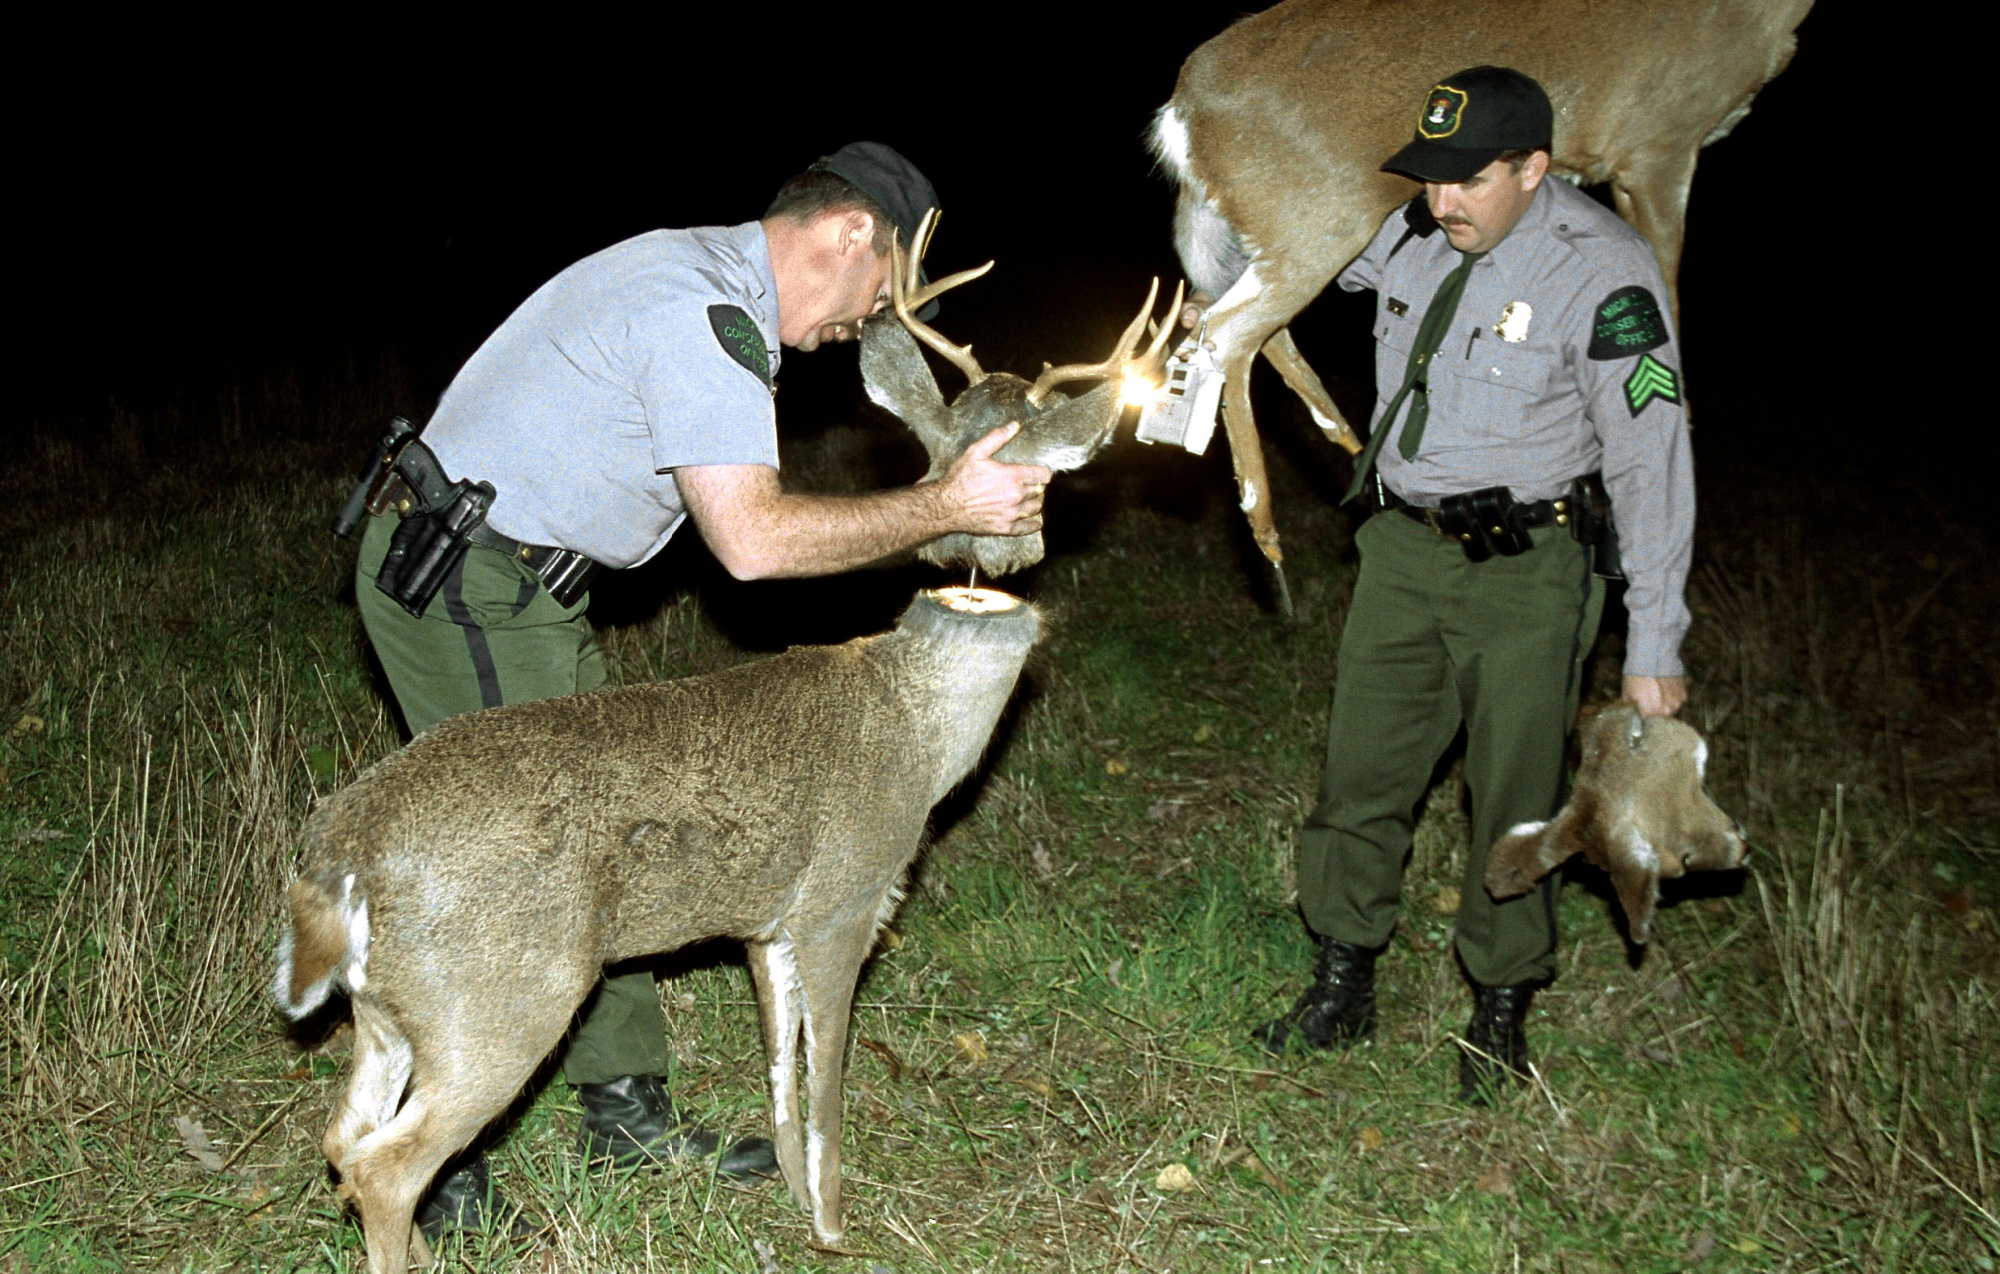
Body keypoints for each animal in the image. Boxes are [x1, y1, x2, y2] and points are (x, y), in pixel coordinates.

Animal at [272, 586, 1040, 1272]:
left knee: (344, 1139)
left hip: (394, 1012)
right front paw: (831, 1231)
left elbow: (780, 1069)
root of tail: (340, 854)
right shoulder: (841, 905)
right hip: (502, 1007)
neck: (918, 729)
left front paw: (791, 1194)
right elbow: (825, 1088)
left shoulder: (766, 928)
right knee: (386, 1167)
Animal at [1150, 0, 1815, 591]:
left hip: (1252, 230)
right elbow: (1666, 294)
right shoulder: (1659, 141)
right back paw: (1269, 530)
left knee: (1232, 323)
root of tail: (1183, 113)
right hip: (1316, 216)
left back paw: (1348, 445)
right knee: (1229, 333)